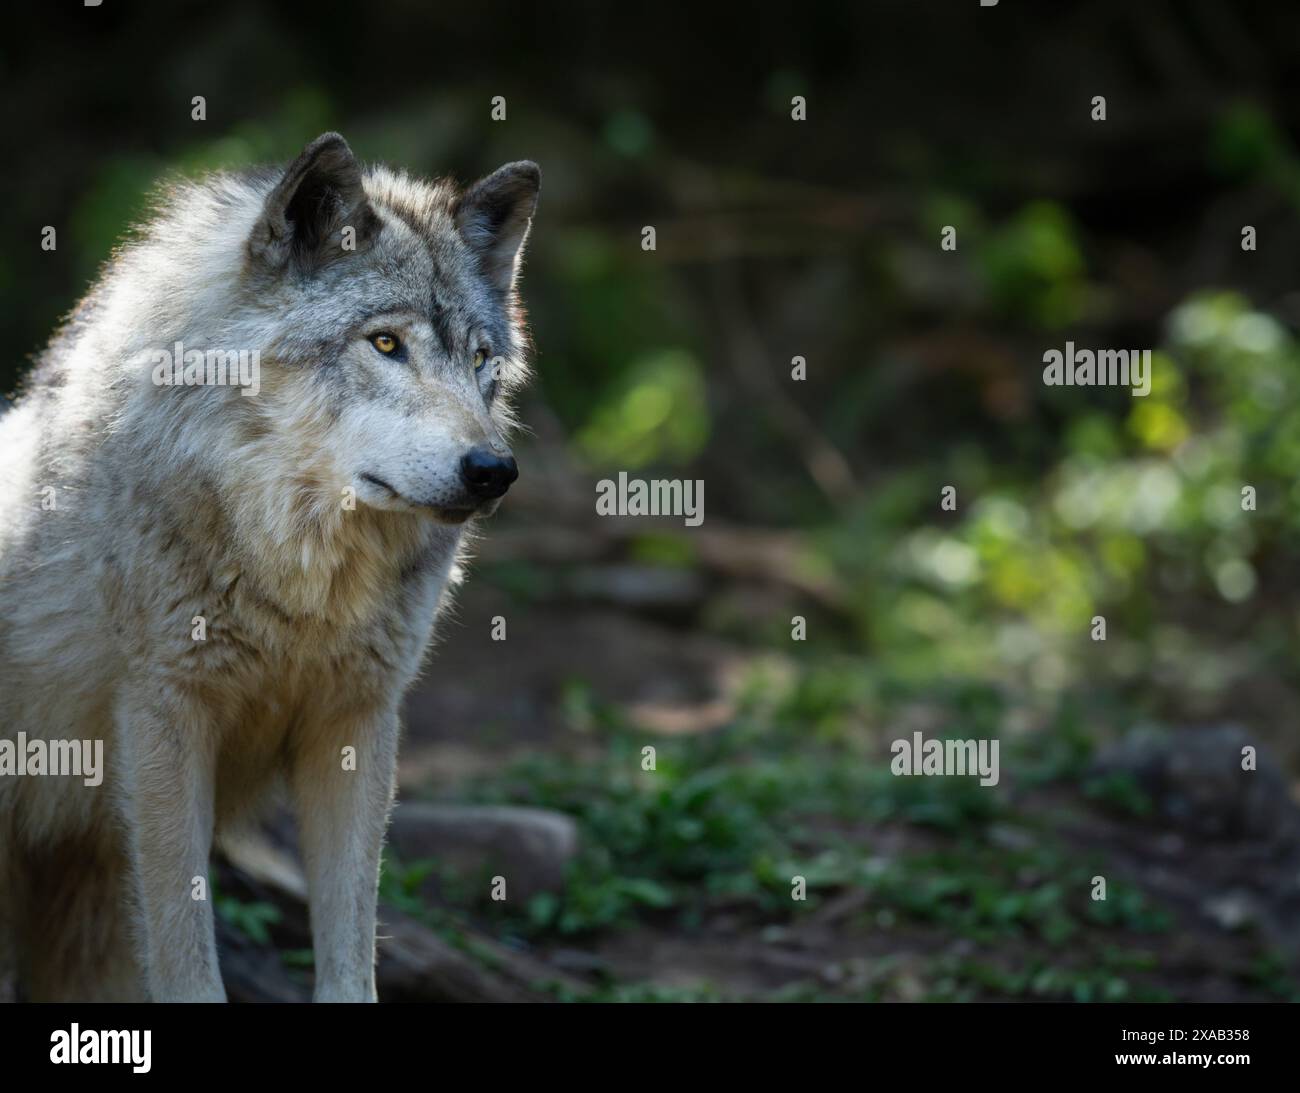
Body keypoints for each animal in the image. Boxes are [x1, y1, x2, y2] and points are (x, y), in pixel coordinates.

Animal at [0, 134, 540, 998]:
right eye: (385, 343)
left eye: (482, 359)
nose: (494, 470)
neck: (300, 581)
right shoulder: (164, 716)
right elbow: (188, 959)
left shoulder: (358, 721)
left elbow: (352, 959)